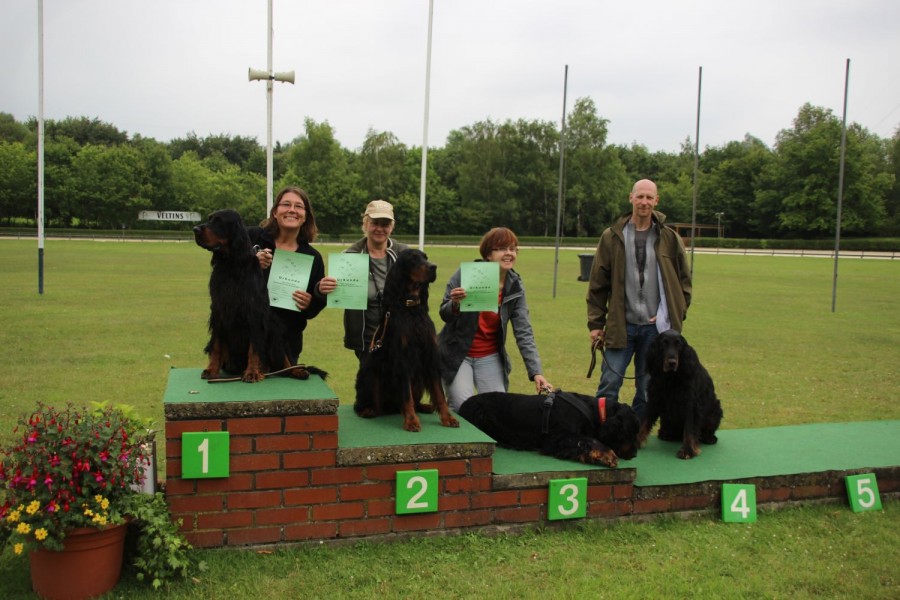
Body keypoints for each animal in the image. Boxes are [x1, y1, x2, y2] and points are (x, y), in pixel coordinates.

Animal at [193, 209, 323, 383]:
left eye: (218, 221)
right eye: (209, 219)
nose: (195, 229)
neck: (232, 265)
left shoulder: (254, 312)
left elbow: (254, 346)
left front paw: (252, 372)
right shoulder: (219, 311)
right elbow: (217, 344)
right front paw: (211, 369)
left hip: (275, 329)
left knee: (285, 360)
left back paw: (296, 371)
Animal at [354, 249, 459, 432]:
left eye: (425, 257)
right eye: (413, 259)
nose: (433, 267)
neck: (411, 308)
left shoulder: (430, 355)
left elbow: (439, 392)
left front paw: (448, 417)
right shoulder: (402, 358)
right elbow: (406, 394)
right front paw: (411, 421)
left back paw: (424, 407)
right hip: (370, 374)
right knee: (365, 404)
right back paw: (367, 410)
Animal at [457, 390, 639, 468]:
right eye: (629, 432)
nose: (634, 454)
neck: (593, 410)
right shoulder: (557, 439)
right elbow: (588, 440)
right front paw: (607, 455)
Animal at [638, 329, 723, 459]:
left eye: (679, 345)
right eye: (664, 343)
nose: (672, 363)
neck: (671, 377)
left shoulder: (690, 404)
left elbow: (689, 428)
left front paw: (688, 450)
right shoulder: (654, 399)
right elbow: (644, 421)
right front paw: (634, 442)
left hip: (716, 408)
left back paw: (709, 438)